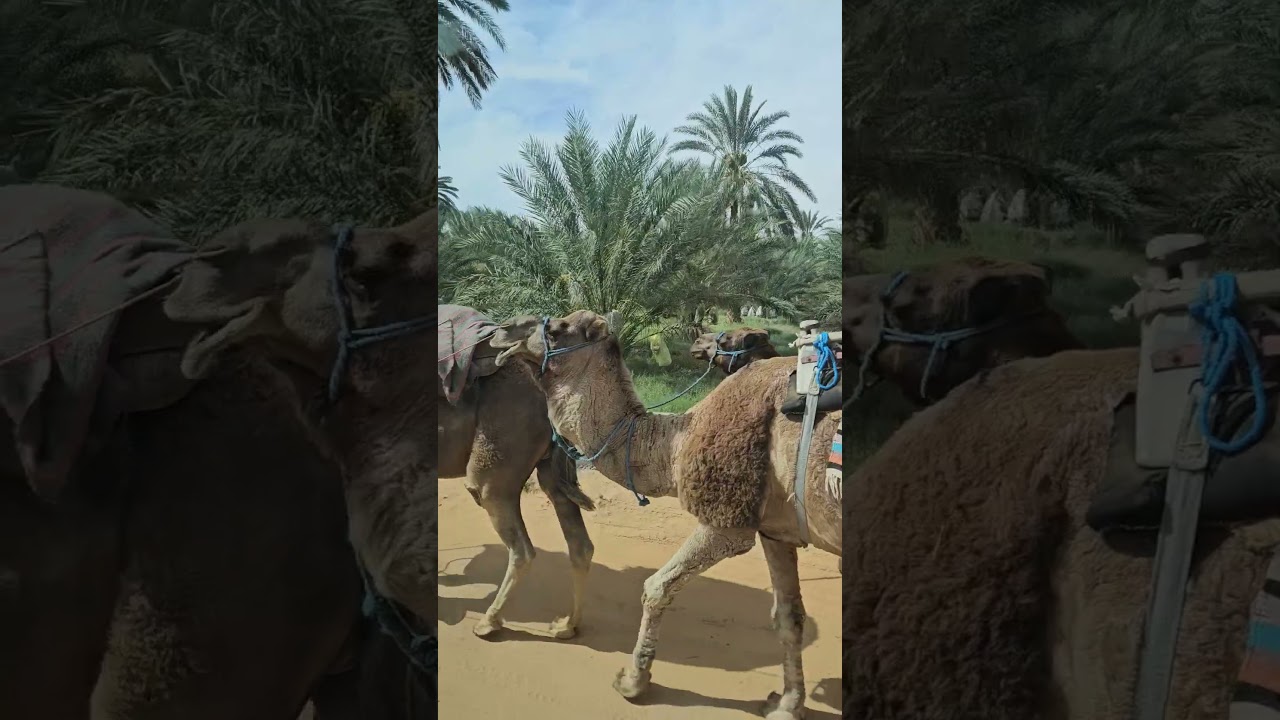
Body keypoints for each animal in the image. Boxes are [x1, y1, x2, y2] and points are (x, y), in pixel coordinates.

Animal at [438, 306, 596, 640]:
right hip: (551, 468)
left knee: (519, 544)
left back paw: (489, 621)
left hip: (497, 463)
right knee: (579, 543)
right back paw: (567, 625)